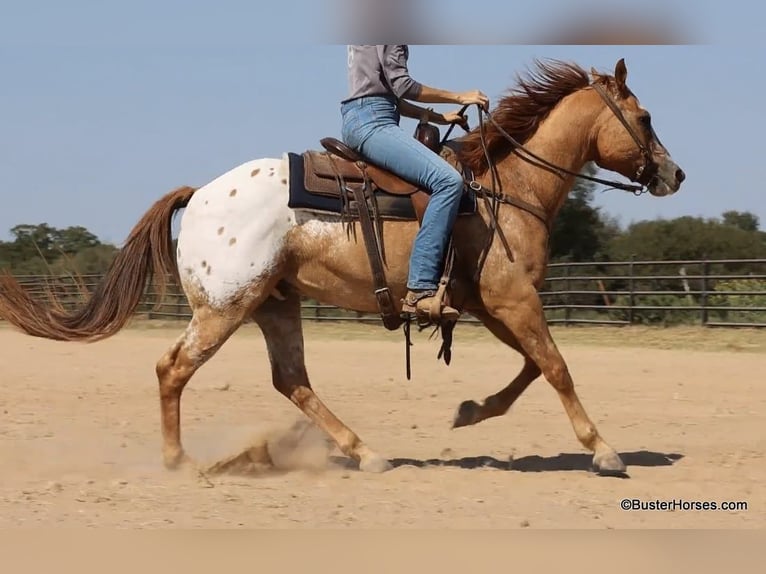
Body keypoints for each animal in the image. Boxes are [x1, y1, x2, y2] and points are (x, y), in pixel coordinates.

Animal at [0, 58, 685, 476]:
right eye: (645, 118)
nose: (675, 173)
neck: (504, 189)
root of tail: (198, 196)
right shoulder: (514, 300)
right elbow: (556, 367)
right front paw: (605, 451)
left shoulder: (492, 304)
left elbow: (531, 369)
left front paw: (470, 412)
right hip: (224, 307)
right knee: (174, 369)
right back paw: (179, 463)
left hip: (275, 304)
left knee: (292, 380)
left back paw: (366, 452)